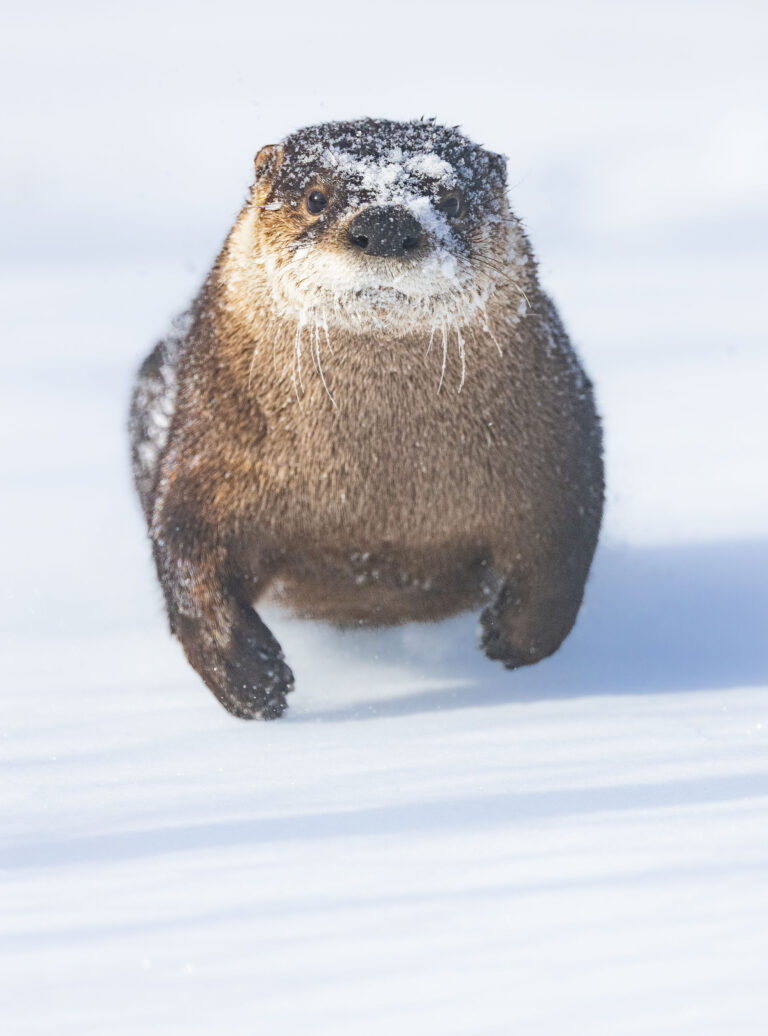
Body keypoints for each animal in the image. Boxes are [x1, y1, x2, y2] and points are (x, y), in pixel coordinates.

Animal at [129, 117, 601, 721]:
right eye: (315, 197)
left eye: (449, 199)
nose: (385, 223)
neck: (375, 490)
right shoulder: (209, 451)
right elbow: (187, 558)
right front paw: (251, 680)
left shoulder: (558, 454)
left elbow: (561, 557)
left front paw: (513, 640)